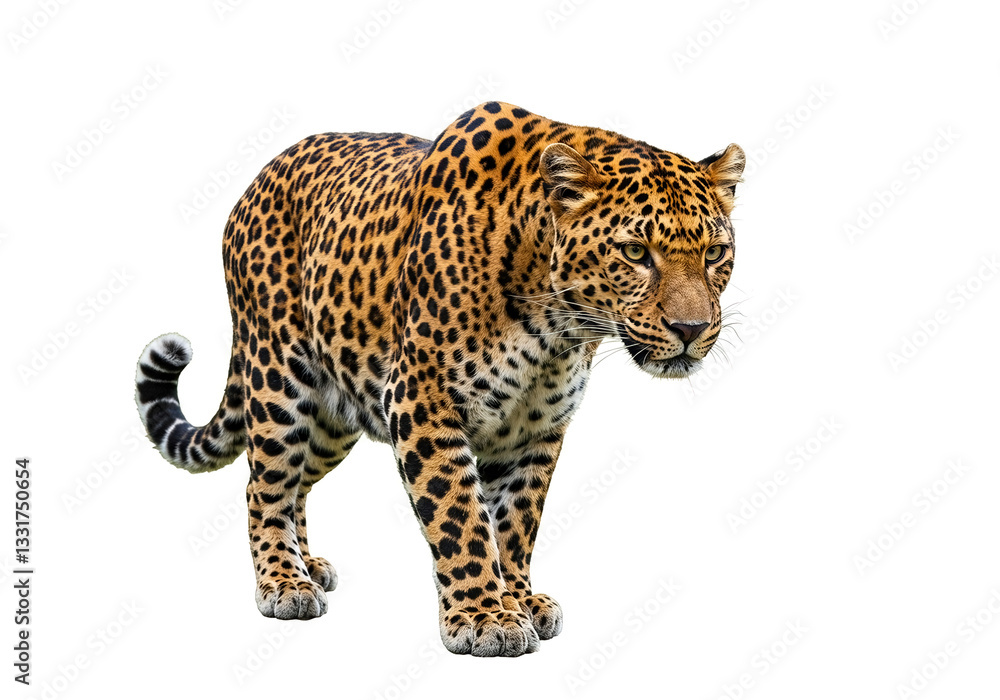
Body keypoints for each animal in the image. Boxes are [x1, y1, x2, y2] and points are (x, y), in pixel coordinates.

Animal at [135, 101, 744, 657]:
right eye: (636, 252)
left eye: (716, 252)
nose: (691, 329)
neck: (555, 324)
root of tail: (259, 178)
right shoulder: (422, 402)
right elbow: (460, 514)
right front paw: (484, 617)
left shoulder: (538, 428)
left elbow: (516, 521)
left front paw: (518, 599)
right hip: (279, 380)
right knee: (264, 486)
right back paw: (284, 582)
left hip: (334, 417)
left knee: (298, 485)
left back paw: (308, 564)